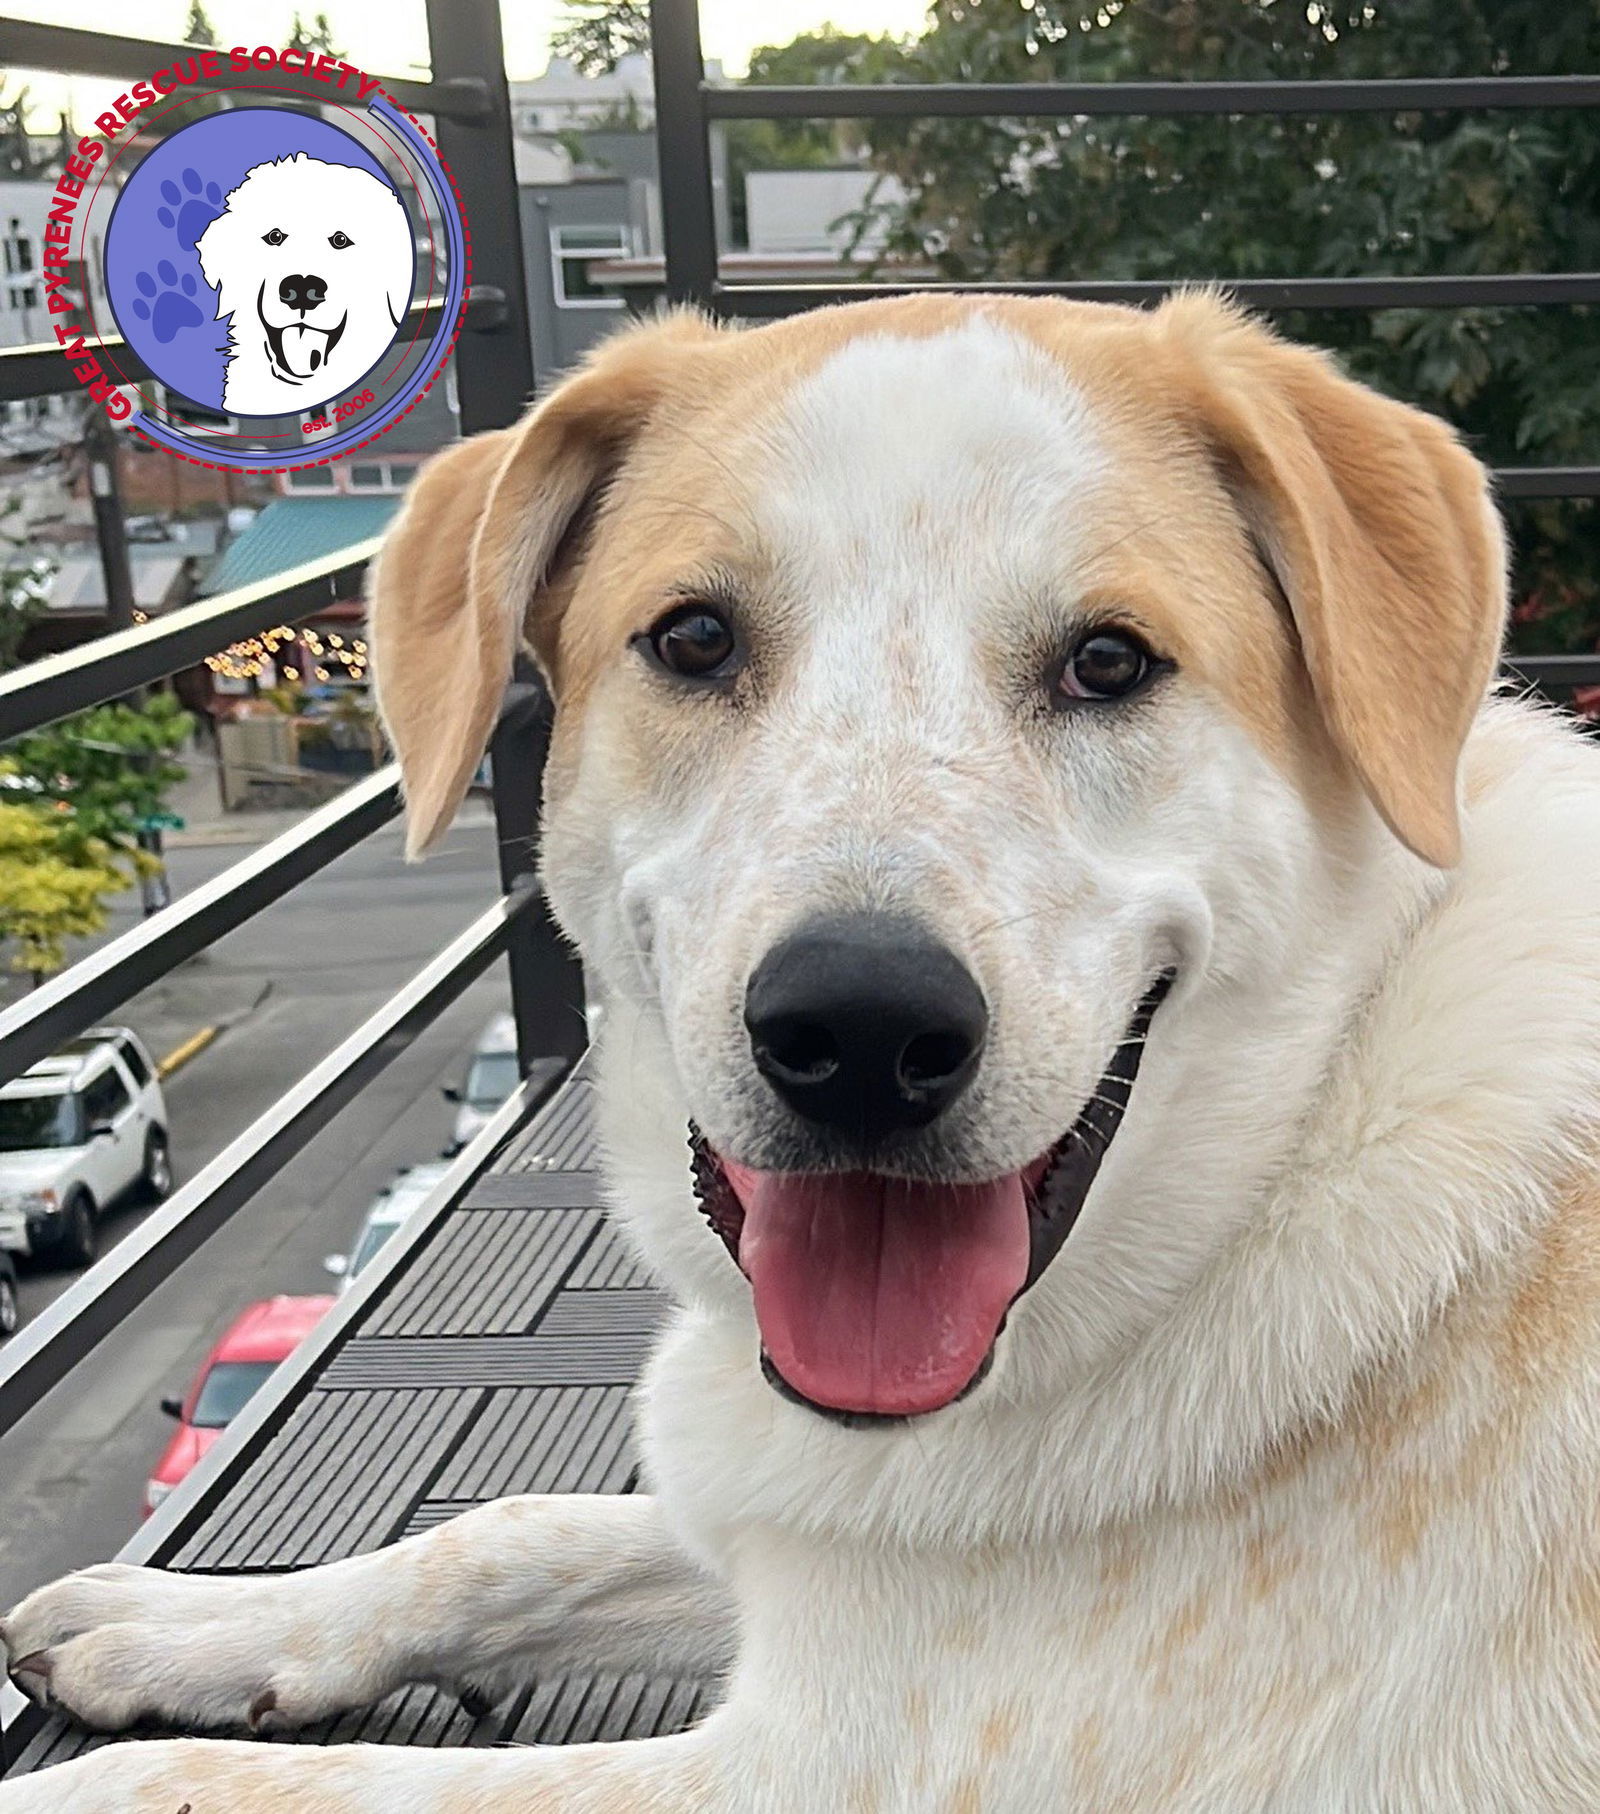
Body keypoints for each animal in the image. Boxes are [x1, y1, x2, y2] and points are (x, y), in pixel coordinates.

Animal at [3, 290, 1596, 1806]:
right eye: (694, 639)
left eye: (1108, 660)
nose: (863, 1028)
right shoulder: (797, 1543)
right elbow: (504, 1533)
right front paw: (188, 1623)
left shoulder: (828, 1762)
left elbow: (225, 1785)